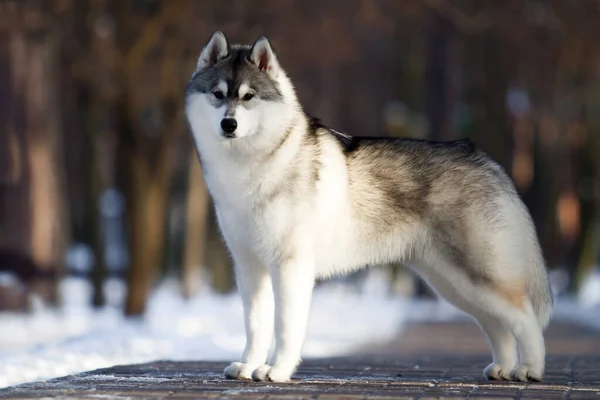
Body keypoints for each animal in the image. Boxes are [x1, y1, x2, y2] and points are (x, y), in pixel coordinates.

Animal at [184, 30, 552, 382]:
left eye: (249, 96)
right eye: (218, 94)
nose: (228, 124)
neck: (254, 164)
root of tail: (487, 161)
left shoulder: (290, 266)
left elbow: (285, 326)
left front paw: (277, 371)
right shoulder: (249, 266)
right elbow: (255, 326)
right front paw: (248, 366)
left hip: (478, 275)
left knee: (525, 319)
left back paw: (529, 369)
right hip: (453, 284)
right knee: (498, 327)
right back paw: (502, 367)